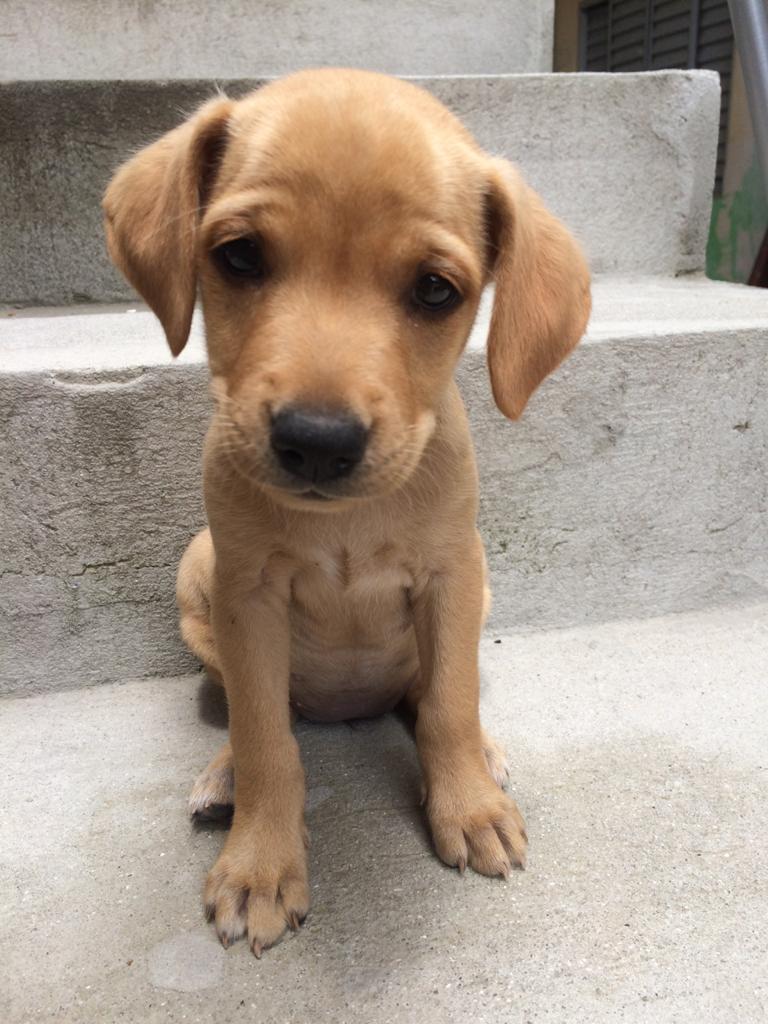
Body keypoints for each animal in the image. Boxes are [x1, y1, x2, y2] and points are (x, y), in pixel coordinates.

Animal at [105, 68, 593, 954]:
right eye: (239, 256)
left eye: (435, 290)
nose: (317, 442)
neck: (345, 522)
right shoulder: (247, 597)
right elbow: (267, 738)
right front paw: (261, 863)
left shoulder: (452, 575)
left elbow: (448, 702)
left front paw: (468, 805)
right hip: (199, 577)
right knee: (256, 711)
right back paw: (224, 774)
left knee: (432, 693)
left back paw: (482, 754)